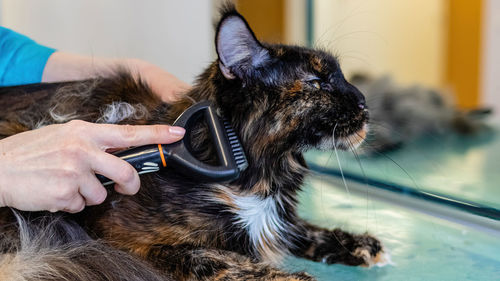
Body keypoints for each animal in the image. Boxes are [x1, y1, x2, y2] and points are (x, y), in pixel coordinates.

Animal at [0, 4, 386, 280]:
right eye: (316, 83)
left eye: (340, 77)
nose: (364, 102)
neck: (262, 174)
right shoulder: (135, 244)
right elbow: (226, 261)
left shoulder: (275, 216)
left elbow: (297, 228)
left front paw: (357, 244)